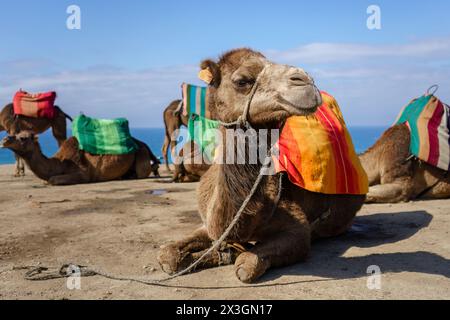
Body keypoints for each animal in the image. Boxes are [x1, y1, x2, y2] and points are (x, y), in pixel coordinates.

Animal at [0, 130, 160, 185]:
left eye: (23, 138)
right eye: (16, 134)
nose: (5, 139)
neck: (61, 162)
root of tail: (143, 144)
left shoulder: (83, 173)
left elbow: (52, 180)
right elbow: (47, 180)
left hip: (141, 154)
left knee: (144, 170)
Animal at [158, 47, 366, 282]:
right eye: (242, 81)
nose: (304, 80)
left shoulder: (299, 230)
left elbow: (246, 264)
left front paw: (232, 255)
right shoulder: (208, 224)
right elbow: (167, 254)